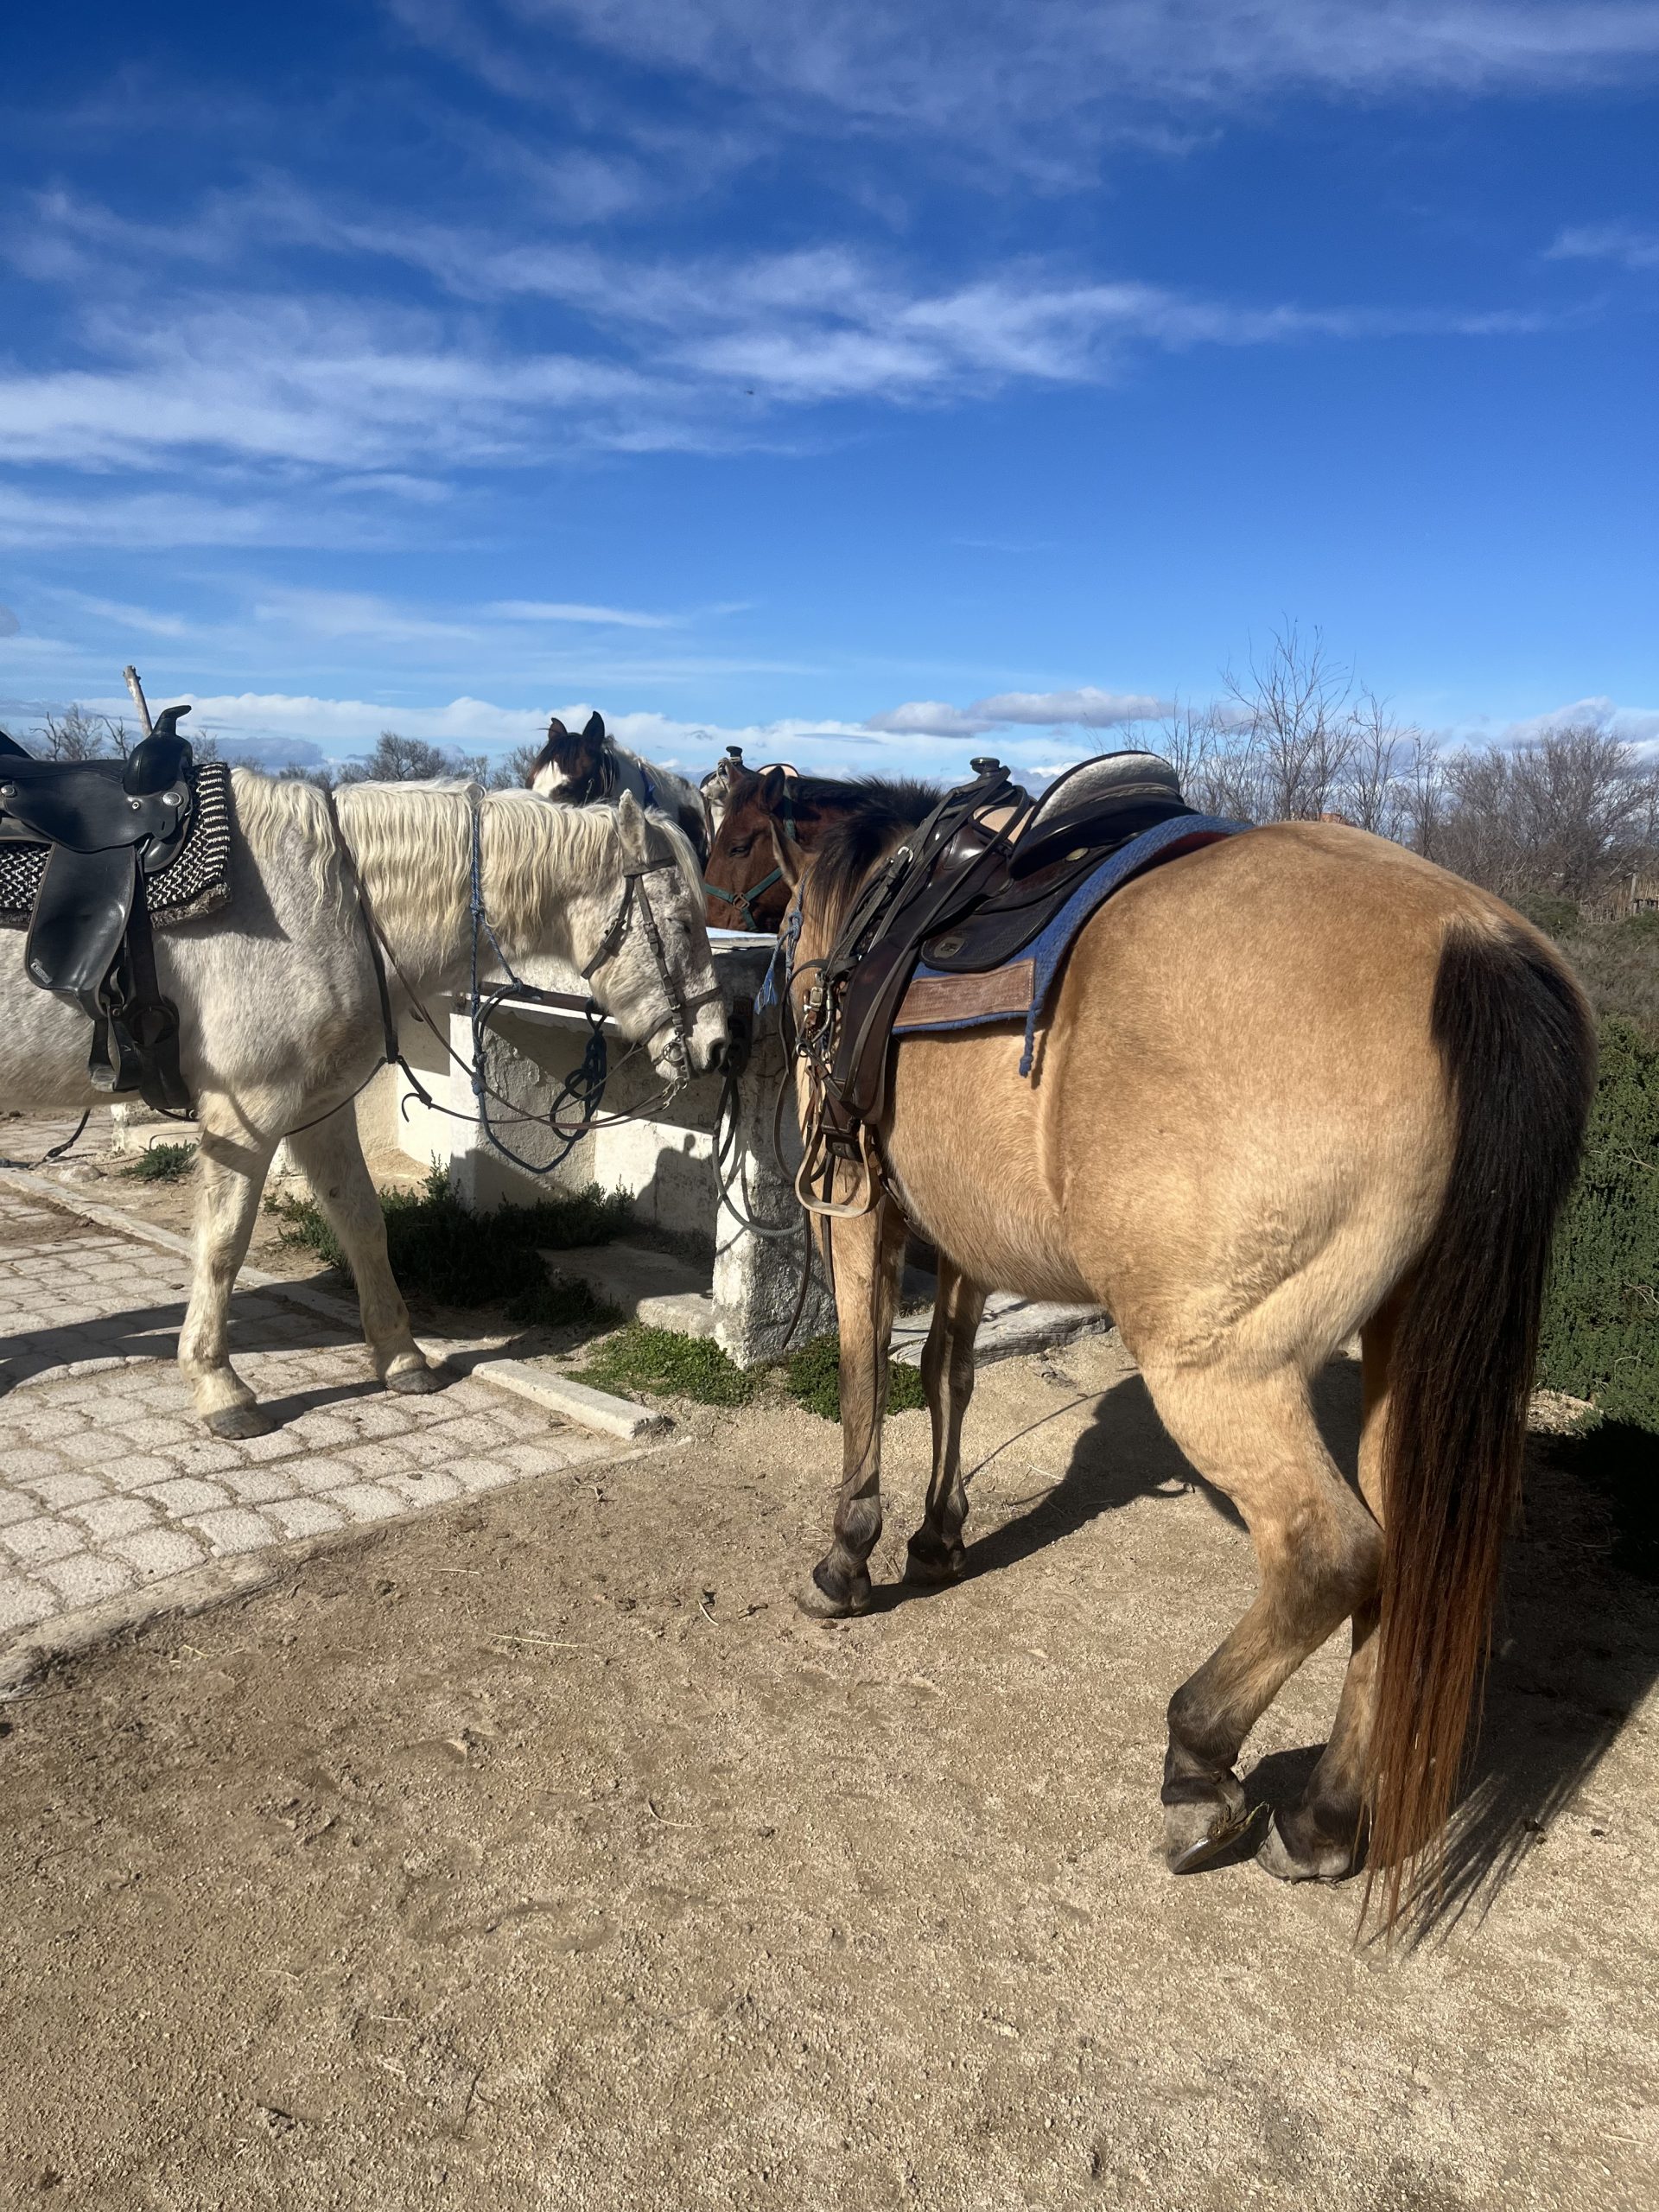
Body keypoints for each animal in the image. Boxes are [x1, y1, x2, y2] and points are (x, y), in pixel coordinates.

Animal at [0, 776, 728, 1438]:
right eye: (684, 923)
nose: (719, 1044)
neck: (322, 904)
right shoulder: (249, 1112)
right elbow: (223, 1244)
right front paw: (219, 1388)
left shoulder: (318, 1108)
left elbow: (363, 1223)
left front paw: (402, 1357)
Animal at [774, 779, 1595, 1922]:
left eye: (780, 927)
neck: (879, 918)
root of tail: (1474, 941)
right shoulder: (974, 1239)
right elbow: (951, 1372)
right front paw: (939, 1540)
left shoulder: (859, 1213)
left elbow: (866, 1379)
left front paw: (847, 1558)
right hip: (1407, 1356)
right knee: (1397, 1560)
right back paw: (1324, 1818)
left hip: (1216, 1370)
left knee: (1332, 1551)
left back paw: (1199, 1761)